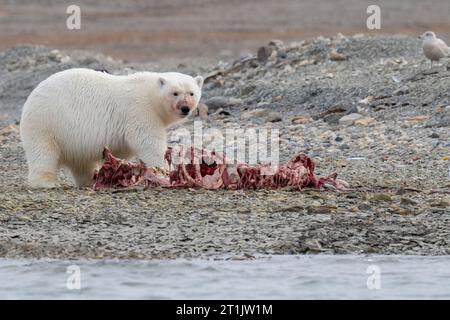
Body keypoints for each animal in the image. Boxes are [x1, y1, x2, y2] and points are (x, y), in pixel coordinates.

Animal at [20, 67, 203, 188]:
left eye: (191, 93)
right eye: (175, 93)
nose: (185, 108)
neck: (149, 93)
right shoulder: (140, 110)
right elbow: (148, 141)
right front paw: (163, 171)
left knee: (81, 163)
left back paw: (90, 180)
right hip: (47, 122)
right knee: (43, 152)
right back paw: (45, 182)